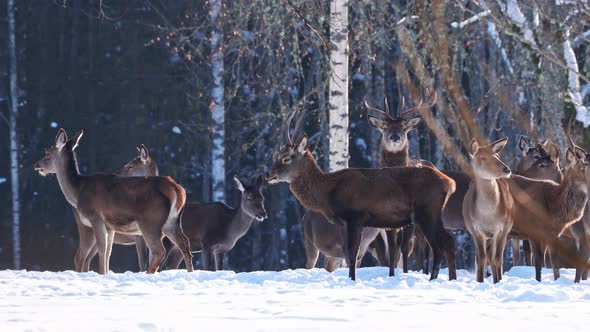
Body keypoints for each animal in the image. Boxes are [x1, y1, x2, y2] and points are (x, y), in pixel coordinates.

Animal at [34, 128, 194, 274]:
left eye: (47, 153)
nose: (36, 165)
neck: (78, 191)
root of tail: (177, 189)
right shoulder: (110, 227)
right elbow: (108, 252)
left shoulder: (95, 218)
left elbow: (102, 249)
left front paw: (102, 273)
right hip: (171, 222)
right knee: (184, 242)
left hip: (150, 221)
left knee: (158, 251)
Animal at [268, 109, 458, 280]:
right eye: (277, 155)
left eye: (286, 158)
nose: (268, 174)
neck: (328, 193)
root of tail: (450, 183)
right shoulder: (345, 223)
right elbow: (348, 254)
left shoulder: (355, 216)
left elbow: (352, 254)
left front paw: (352, 280)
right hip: (429, 214)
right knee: (448, 241)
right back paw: (450, 278)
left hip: (427, 212)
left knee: (440, 245)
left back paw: (435, 278)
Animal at [366, 93, 472, 274]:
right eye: (385, 126)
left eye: (404, 126)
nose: (395, 137)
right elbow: (393, 250)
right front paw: (391, 274)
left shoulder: (409, 222)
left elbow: (403, 248)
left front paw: (404, 273)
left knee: (426, 248)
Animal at [464, 137, 516, 282]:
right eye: (483, 157)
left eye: (497, 156)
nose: (507, 169)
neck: (488, 216)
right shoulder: (476, 230)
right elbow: (482, 259)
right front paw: (481, 282)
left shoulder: (502, 229)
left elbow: (497, 259)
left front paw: (498, 281)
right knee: (479, 258)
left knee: (493, 258)